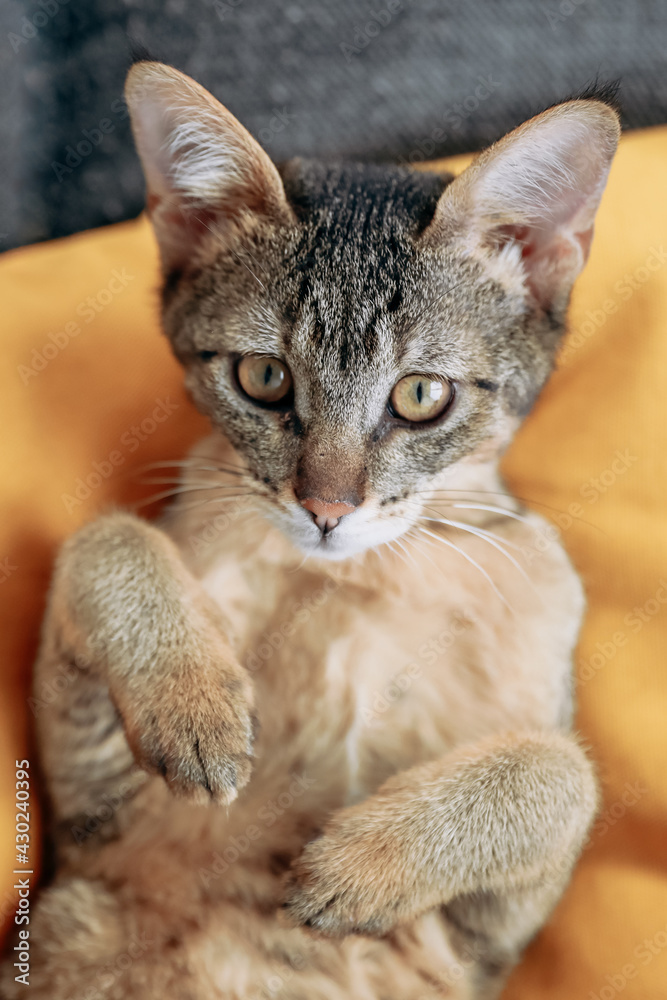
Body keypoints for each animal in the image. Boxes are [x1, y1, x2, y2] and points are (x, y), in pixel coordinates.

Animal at [1, 62, 620, 1000]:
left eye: (421, 395)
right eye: (264, 377)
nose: (326, 508)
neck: (356, 580)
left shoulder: (486, 943)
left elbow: (565, 773)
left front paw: (356, 863)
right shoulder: (84, 819)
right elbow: (104, 541)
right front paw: (193, 703)